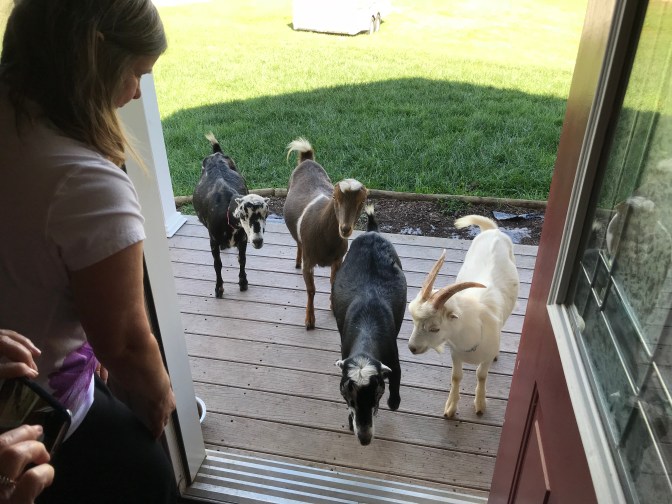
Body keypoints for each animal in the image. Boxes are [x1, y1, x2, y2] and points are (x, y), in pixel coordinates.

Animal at [192, 132, 269, 298]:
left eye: (266, 214)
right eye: (243, 215)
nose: (258, 241)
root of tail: (216, 153)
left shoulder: (243, 239)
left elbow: (242, 259)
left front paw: (243, 282)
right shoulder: (213, 240)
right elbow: (217, 264)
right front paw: (219, 289)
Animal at [283, 137, 368, 329]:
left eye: (362, 202)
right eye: (335, 198)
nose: (345, 228)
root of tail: (307, 159)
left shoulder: (338, 260)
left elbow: (333, 282)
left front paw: (332, 306)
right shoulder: (309, 262)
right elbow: (311, 290)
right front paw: (309, 321)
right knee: (298, 243)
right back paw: (297, 262)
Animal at [332, 205, 406, 445]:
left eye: (377, 394)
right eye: (347, 396)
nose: (364, 439)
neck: (366, 325)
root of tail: (372, 231)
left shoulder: (393, 357)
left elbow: (397, 376)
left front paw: (394, 402)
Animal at [408, 215, 519, 418]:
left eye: (435, 328)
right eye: (414, 322)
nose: (412, 348)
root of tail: (492, 230)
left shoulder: (485, 359)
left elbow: (481, 376)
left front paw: (480, 405)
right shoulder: (455, 354)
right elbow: (456, 376)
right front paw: (451, 408)